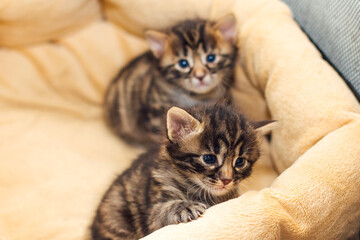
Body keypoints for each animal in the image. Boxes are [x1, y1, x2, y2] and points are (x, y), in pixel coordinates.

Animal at [91, 104, 274, 240]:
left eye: (240, 161)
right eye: (209, 158)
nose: (227, 180)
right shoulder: (153, 213)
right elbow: (162, 211)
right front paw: (184, 207)